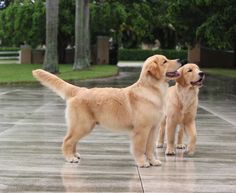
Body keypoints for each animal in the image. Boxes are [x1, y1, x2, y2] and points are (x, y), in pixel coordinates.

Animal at [32, 54, 181, 167]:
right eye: (165, 61)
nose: (180, 60)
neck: (152, 90)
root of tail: (79, 90)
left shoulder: (153, 128)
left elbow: (150, 148)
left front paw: (153, 161)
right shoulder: (141, 129)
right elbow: (139, 149)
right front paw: (142, 162)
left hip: (83, 126)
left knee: (72, 141)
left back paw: (75, 155)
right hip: (82, 125)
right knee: (67, 141)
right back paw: (70, 158)